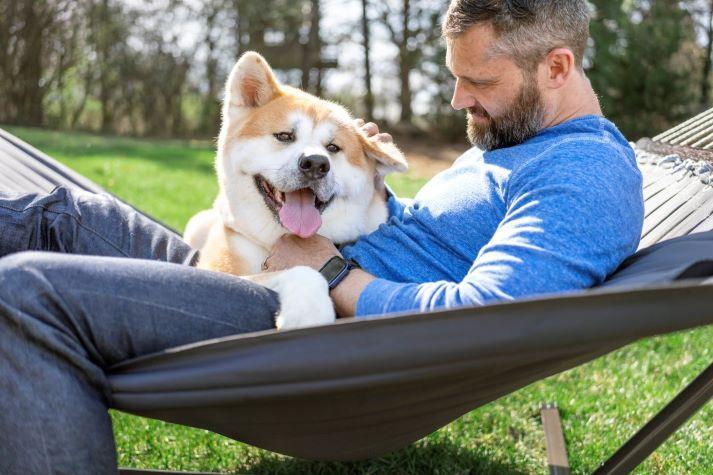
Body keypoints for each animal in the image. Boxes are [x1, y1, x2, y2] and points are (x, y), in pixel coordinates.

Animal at [184, 50, 406, 330]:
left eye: (333, 148)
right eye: (284, 136)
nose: (316, 164)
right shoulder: (219, 268)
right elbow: (303, 272)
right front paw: (309, 310)